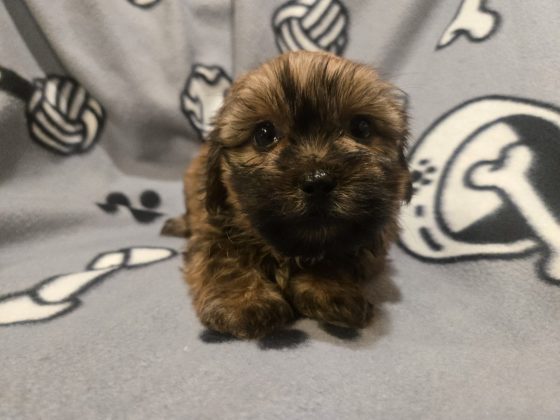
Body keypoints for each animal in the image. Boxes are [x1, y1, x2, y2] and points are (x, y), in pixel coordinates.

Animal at [163, 51, 412, 339]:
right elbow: (225, 259)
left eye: (361, 128)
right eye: (264, 134)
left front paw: (331, 289)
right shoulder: (212, 227)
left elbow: (338, 254)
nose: (318, 181)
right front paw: (245, 302)